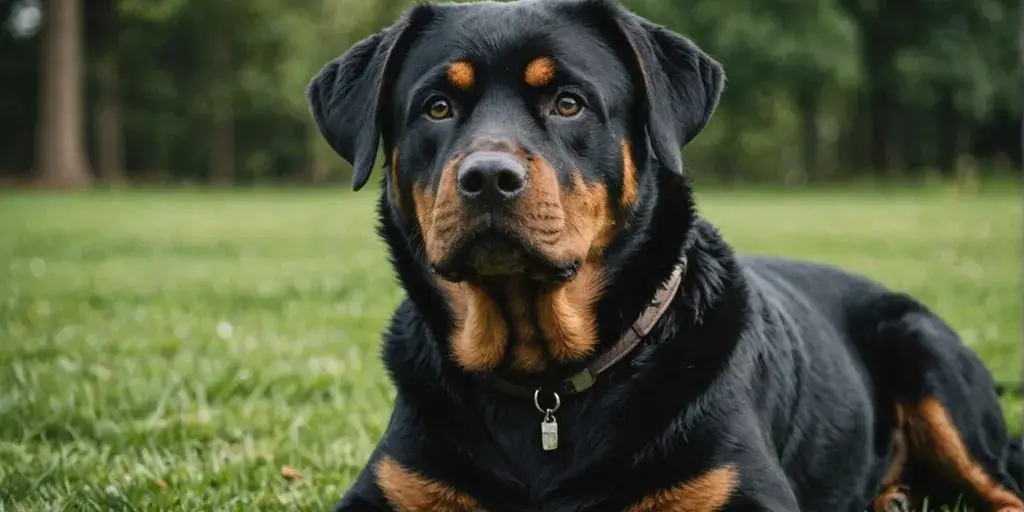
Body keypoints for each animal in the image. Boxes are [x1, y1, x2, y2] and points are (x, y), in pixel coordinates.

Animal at [305, 1, 1024, 507]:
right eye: (436, 106)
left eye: (568, 103)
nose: (486, 177)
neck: (544, 391)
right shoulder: (395, 483)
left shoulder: (738, 488)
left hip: (927, 355)